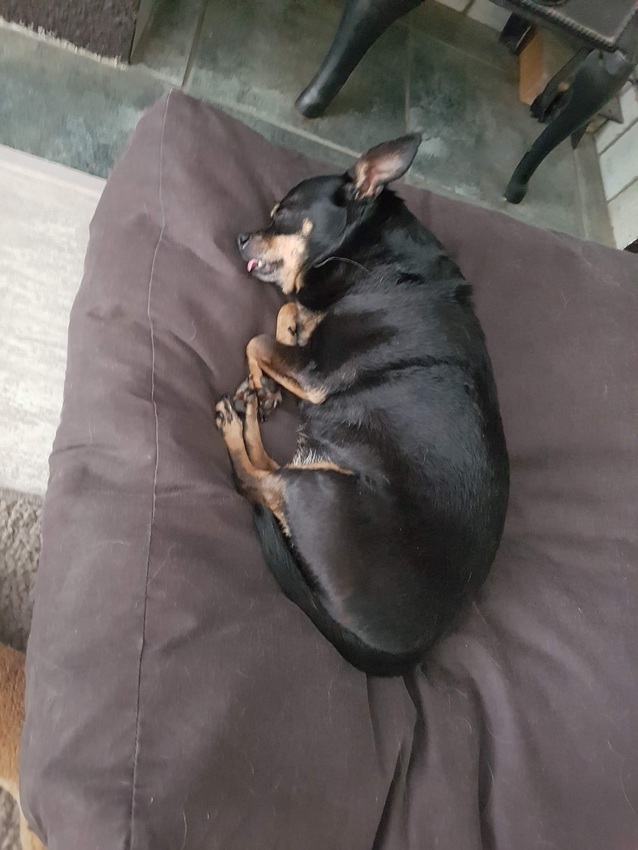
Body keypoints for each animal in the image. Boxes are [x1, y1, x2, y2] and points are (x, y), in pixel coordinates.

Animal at [215, 134, 509, 676]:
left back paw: (234, 421)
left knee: (254, 481)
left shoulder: (316, 373)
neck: (374, 258)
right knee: (270, 475)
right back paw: (251, 411)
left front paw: (263, 377)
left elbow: (259, 338)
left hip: (323, 491)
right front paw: (267, 385)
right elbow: (285, 317)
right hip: (320, 472)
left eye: (283, 213)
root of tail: (403, 655)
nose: (242, 237)